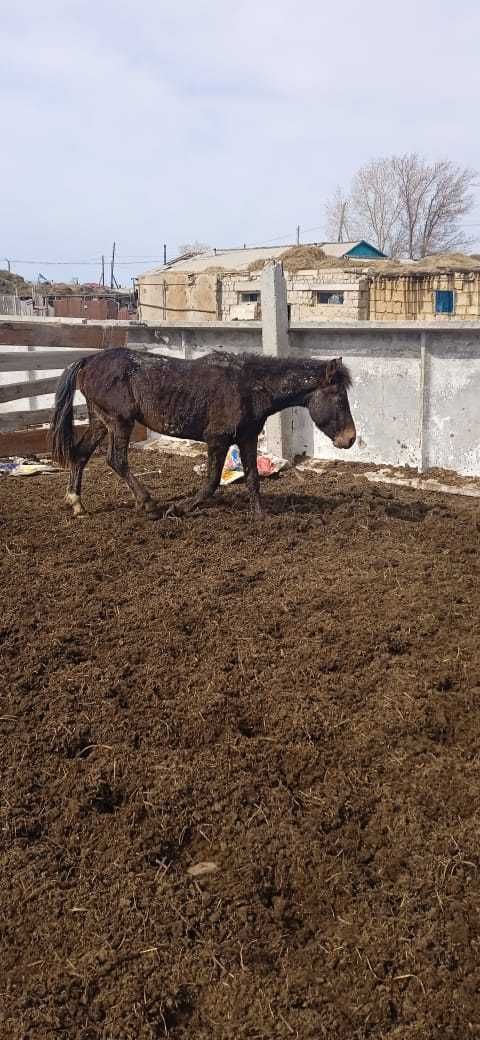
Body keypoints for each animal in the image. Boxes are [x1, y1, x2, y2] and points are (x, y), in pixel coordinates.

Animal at [50, 347, 355, 520]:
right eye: (340, 398)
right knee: (116, 460)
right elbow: (211, 483)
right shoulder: (217, 440)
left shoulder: (246, 438)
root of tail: (88, 360)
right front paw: (179, 509)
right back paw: (149, 504)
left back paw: (77, 504)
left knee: (80, 455)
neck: (249, 386)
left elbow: (253, 479)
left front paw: (261, 516)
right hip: (119, 422)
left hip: (101, 421)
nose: (350, 438)